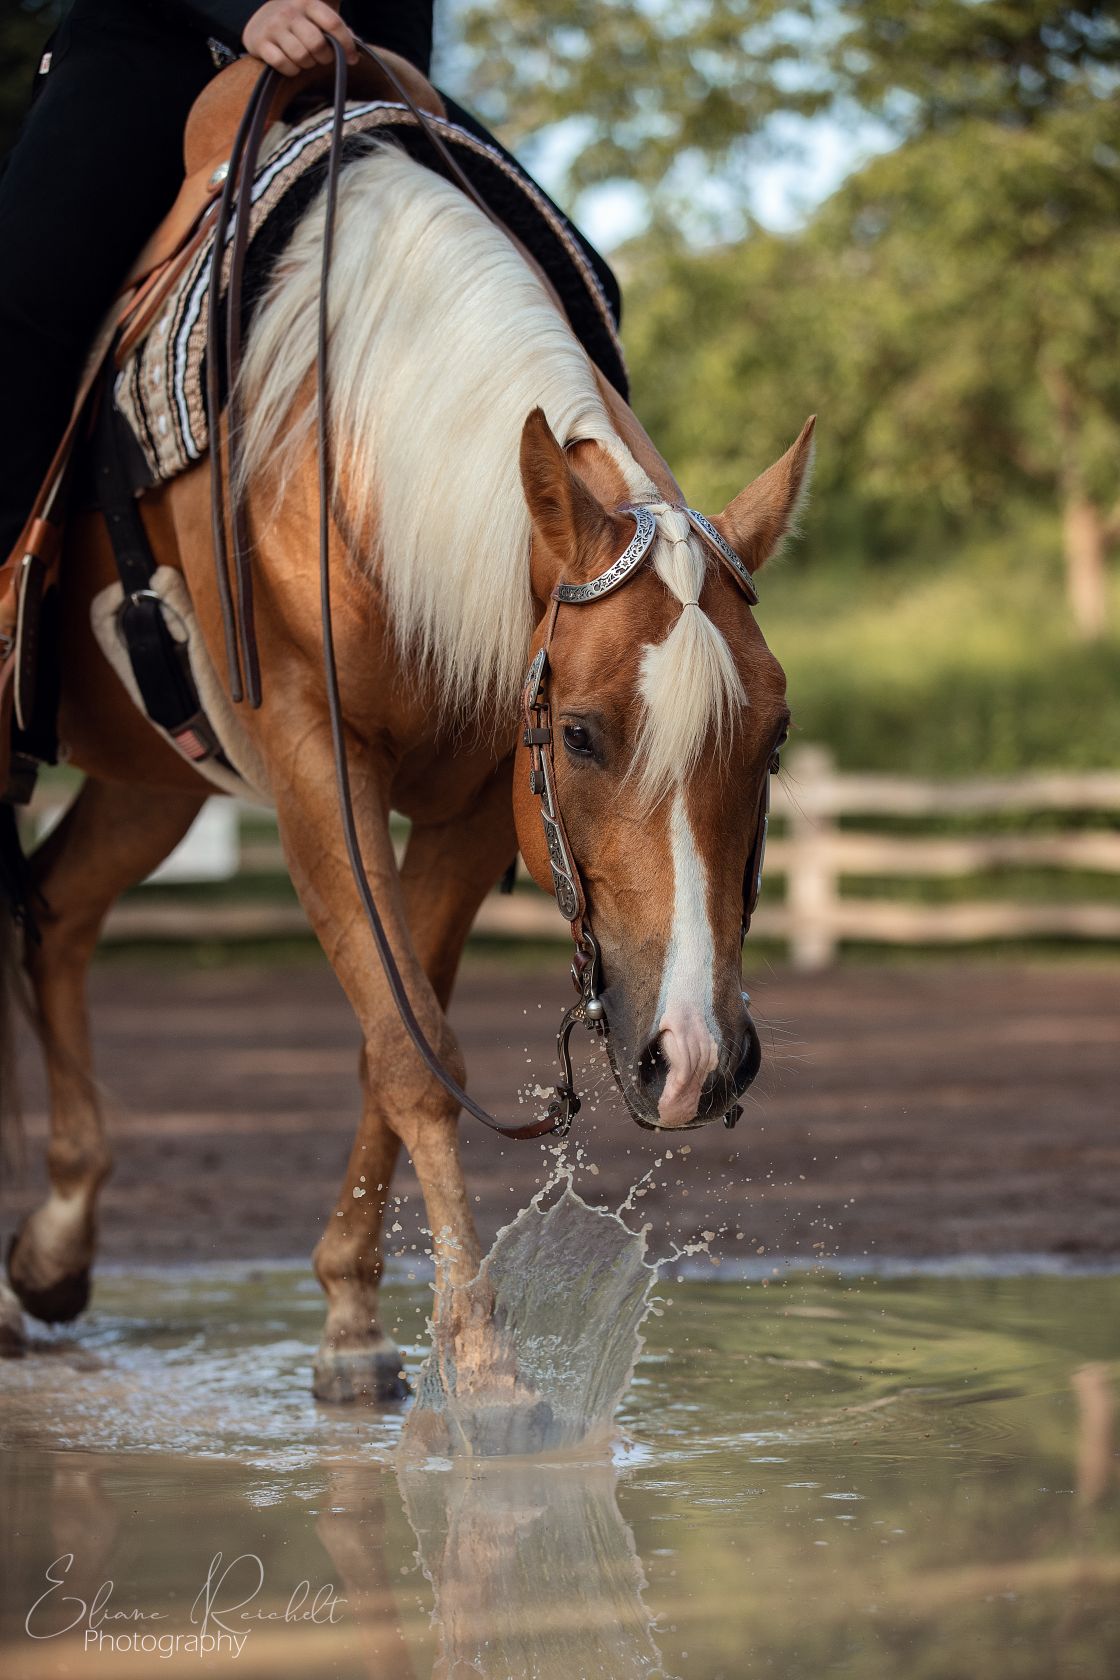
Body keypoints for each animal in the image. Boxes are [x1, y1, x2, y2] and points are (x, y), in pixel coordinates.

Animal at [1, 137, 812, 1401]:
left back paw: (52, 1249)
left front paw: (350, 1317)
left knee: (56, 920)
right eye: (582, 734)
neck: (342, 460)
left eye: (772, 737)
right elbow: (414, 1049)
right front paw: (480, 1360)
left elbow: (396, 1034)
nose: (695, 1061)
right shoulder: (312, 768)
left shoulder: (480, 807)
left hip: (151, 783)